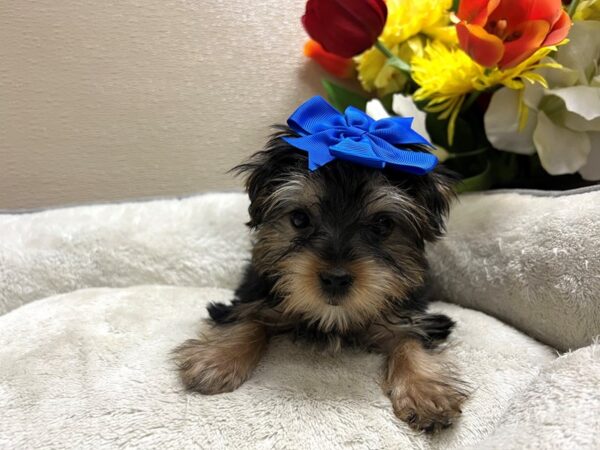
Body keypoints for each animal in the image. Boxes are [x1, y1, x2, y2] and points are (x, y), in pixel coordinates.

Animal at [173, 125, 468, 432]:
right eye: (299, 219)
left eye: (383, 225)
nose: (335, 278)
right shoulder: (256, 293)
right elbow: (247, 317)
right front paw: (216, 359)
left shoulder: (413, 314)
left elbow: (411, 337)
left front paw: (426, 392)